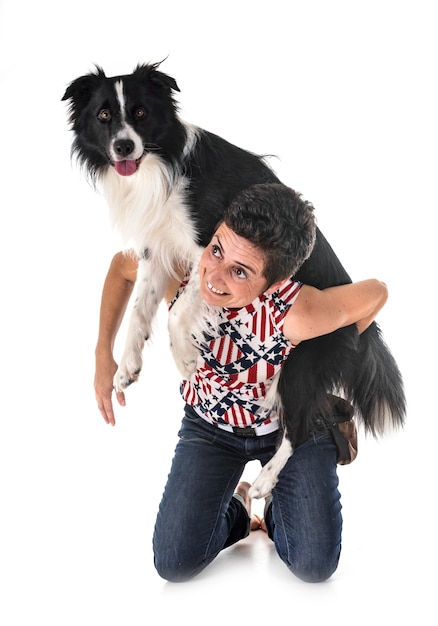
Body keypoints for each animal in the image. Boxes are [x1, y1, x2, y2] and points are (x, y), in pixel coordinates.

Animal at [62, 61, 408, 494]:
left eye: (140, 112)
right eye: (104, 115)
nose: (124, 146)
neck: (162, 164)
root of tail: (365, 326)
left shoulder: (205, 247)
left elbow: (179, 312)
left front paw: (186, 360)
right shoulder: (158, 249)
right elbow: (141, 309)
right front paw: (126, 365)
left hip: (303, 363)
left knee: (302, 426)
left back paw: (264, 481)